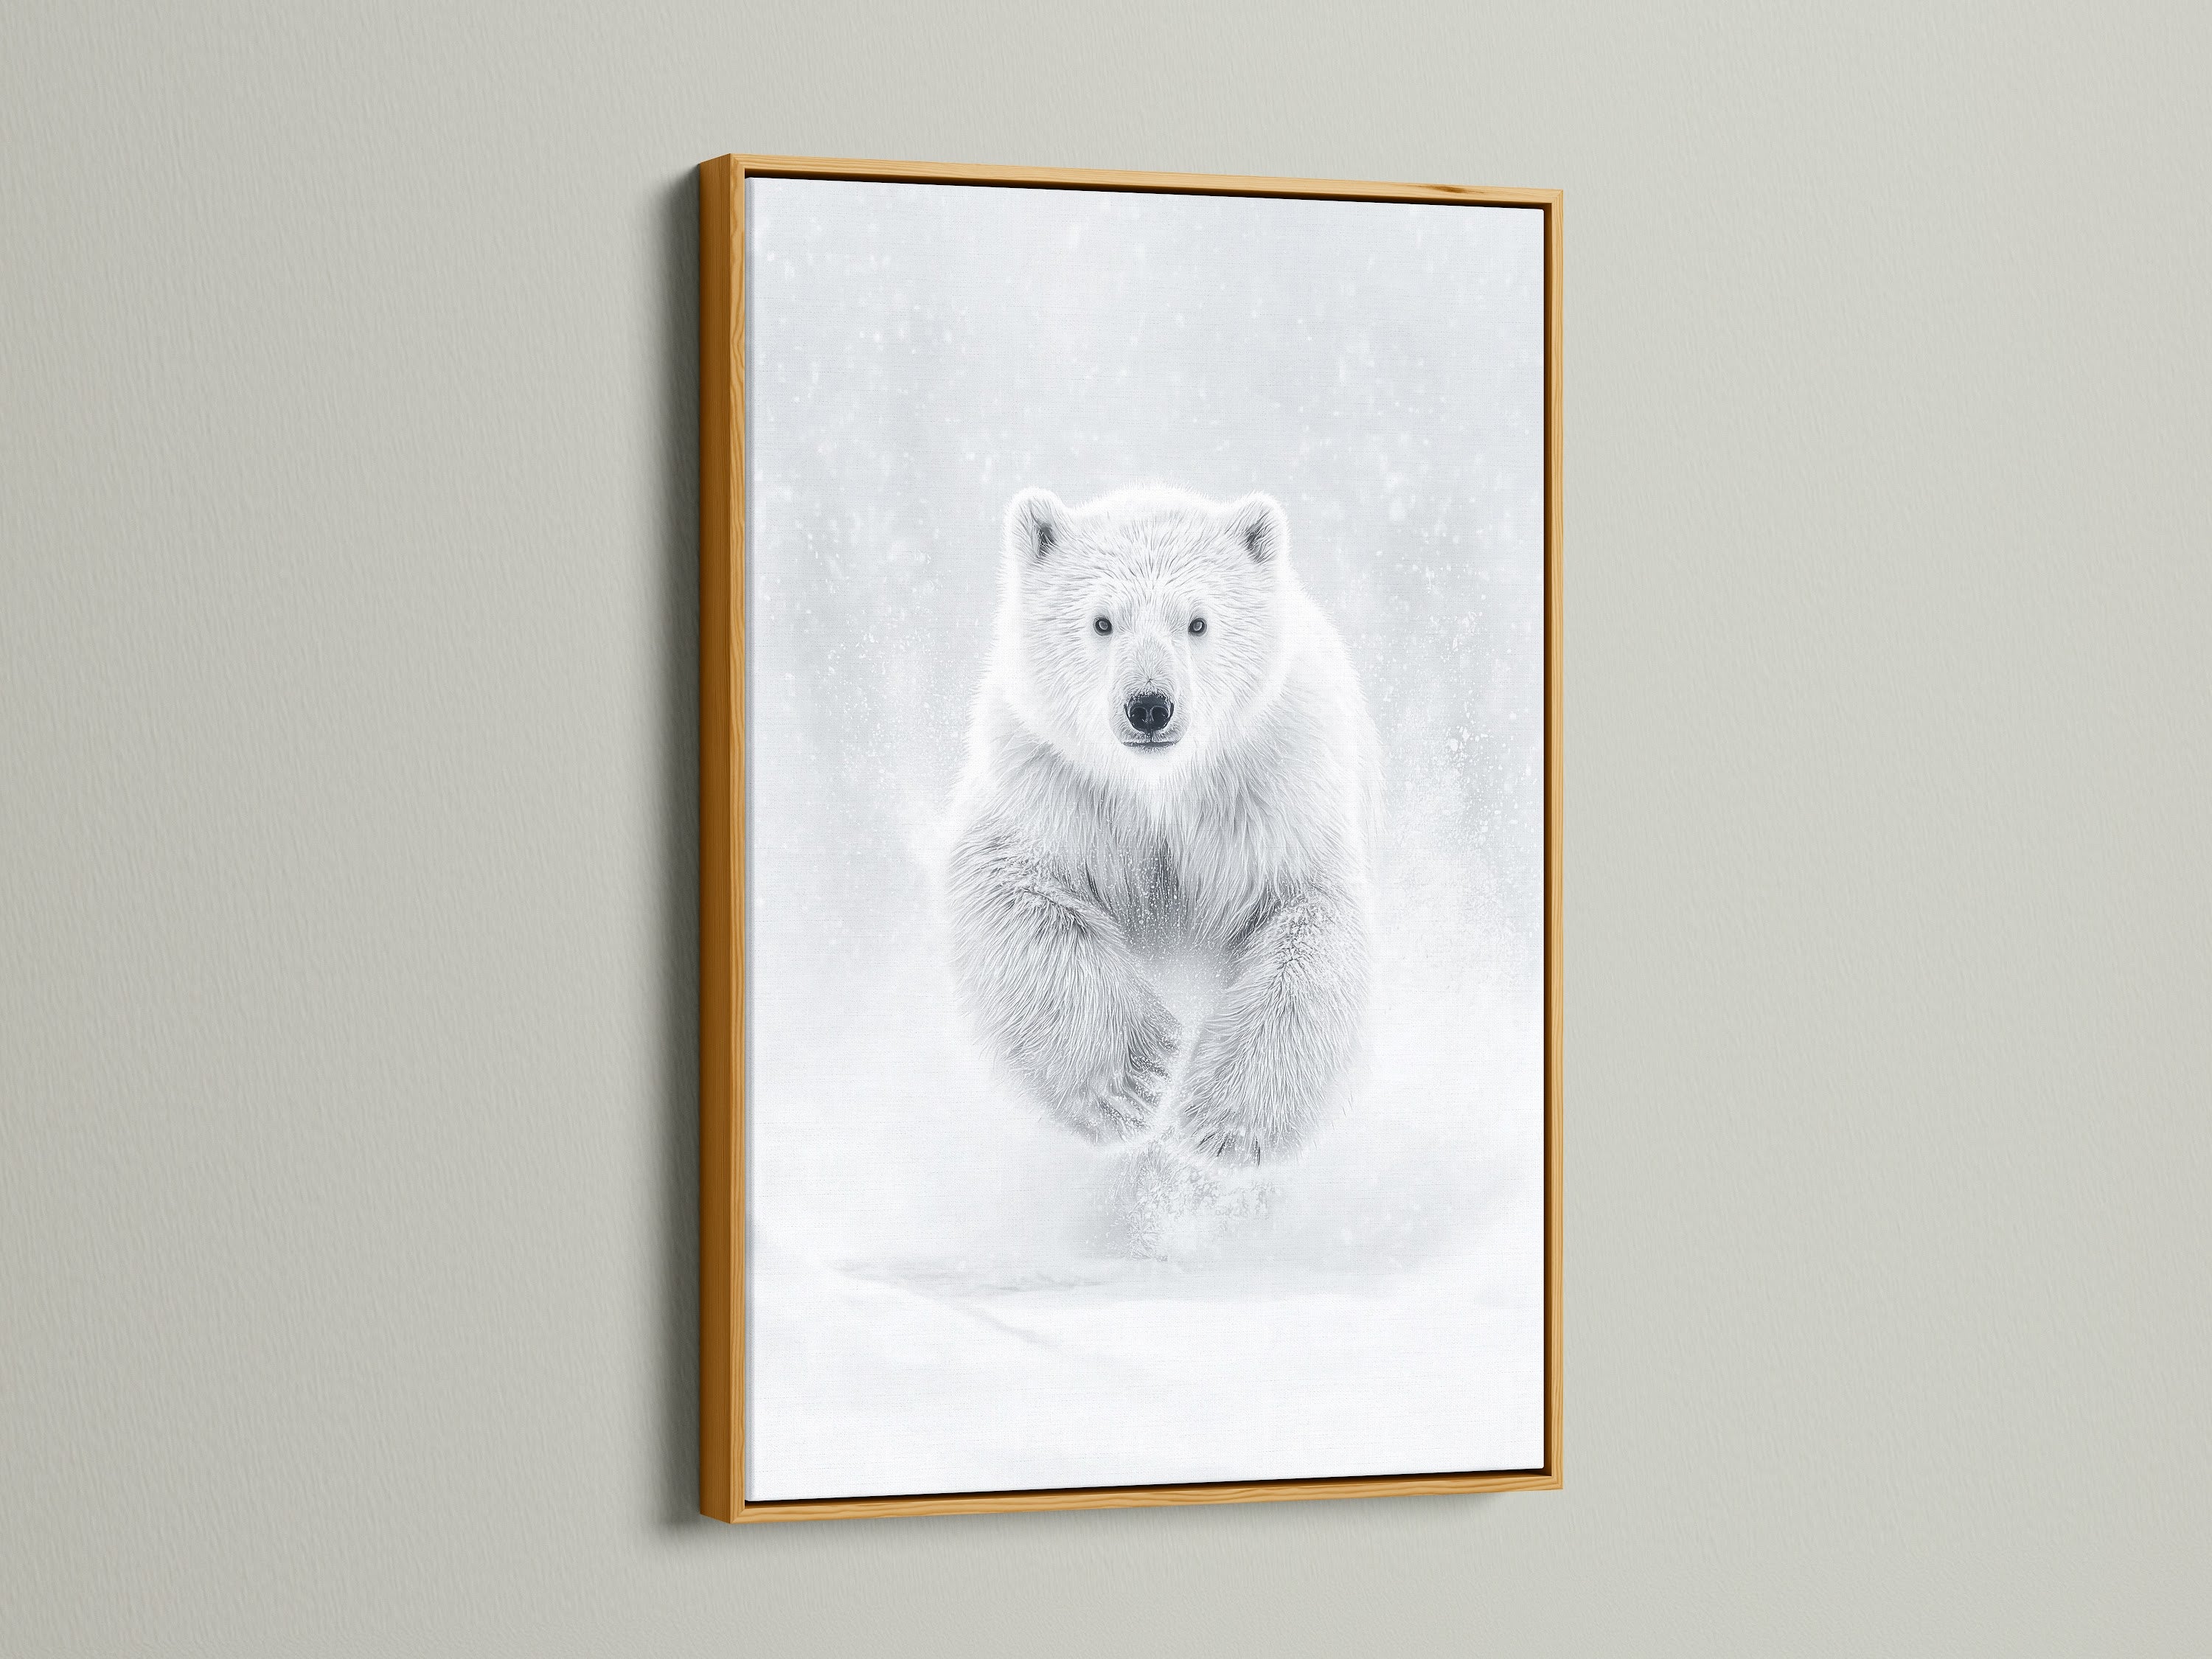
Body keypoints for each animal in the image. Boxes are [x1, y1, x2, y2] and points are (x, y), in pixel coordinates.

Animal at [946, 486, 1378, 1169]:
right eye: (1102, 622)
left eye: (1197, 622)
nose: (1149, 706)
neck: (1160, 789)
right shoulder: (1052, 782)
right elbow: (1011, 891)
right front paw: (1134, 1082)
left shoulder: (1272, 788)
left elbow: (1309, 922)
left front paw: (1224, 1127)